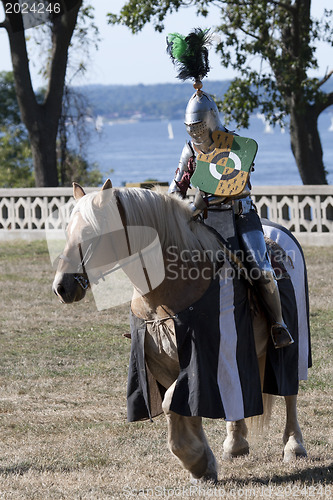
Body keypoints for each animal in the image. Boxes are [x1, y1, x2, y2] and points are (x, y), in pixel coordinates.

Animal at [52, 179, 308, 480]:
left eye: (91, 232)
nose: (62, 287)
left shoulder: (205, 359)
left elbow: (172, 403)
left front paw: (196, 459)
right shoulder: (163, 363)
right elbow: (182, 407)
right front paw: (202, 462)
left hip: (291, 346)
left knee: (289, 393)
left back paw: (294, 446)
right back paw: (235, 444)